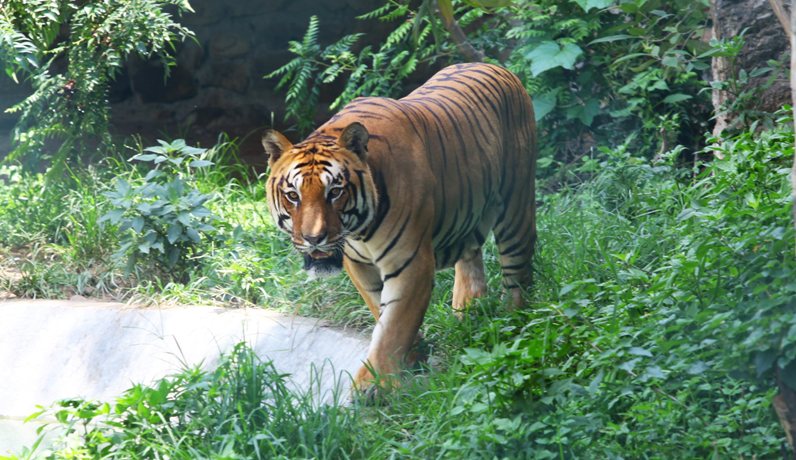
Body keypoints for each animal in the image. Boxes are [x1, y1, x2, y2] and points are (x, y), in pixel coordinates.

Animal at [262, 62, 537, 392]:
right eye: (293, 195)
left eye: (335, 192)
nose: (314, 239)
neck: (359, 231)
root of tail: (495, 66)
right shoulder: (358, 265)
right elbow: (381, 311)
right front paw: (412, 359)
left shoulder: (410, 262)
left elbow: (394, 323)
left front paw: (373, 387)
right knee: (471, 255)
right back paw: (469, 310)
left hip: (516, 207)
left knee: (518, 275)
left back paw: (514, 325)